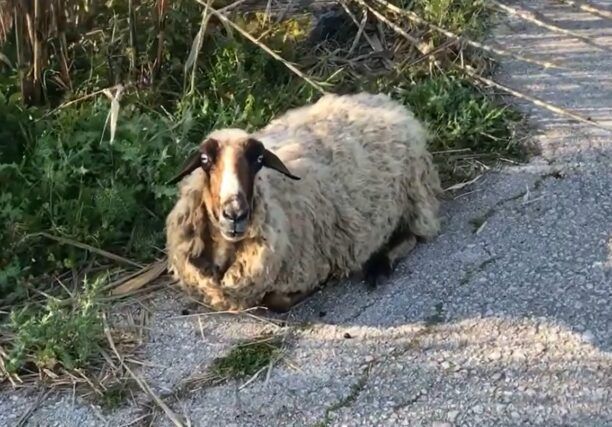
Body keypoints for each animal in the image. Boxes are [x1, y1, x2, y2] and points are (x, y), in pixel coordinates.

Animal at [163, 92, 440, 312]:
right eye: (205, 160)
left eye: (259, 160)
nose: (235, 214)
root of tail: (389, 102)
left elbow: (275, 302)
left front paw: (318, 284)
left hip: (413, 198)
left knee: (413, 235)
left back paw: (380, 266)